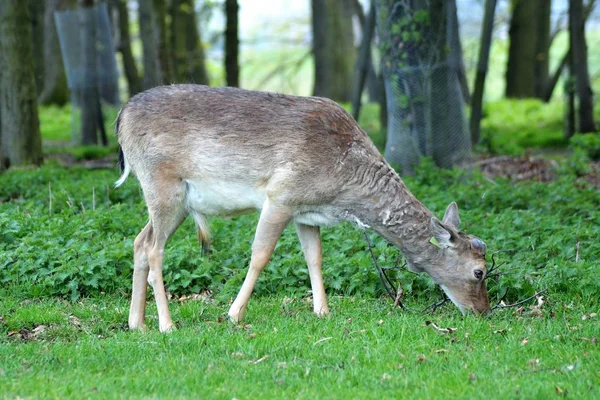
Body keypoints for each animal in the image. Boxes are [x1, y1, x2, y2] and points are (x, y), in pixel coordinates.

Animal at [115, 83, 490, 332]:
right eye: (479, 272)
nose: (484, 311)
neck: (343, 191)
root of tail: (120, 118)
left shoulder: (306, 212)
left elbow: (315, 256)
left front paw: (322, 311)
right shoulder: (280, 195)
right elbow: (260, 255)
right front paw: (234, 314)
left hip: (175, 200)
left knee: (139, 241)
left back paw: (137, 323)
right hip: (162, 184)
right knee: (154, 248)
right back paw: (166, 325)